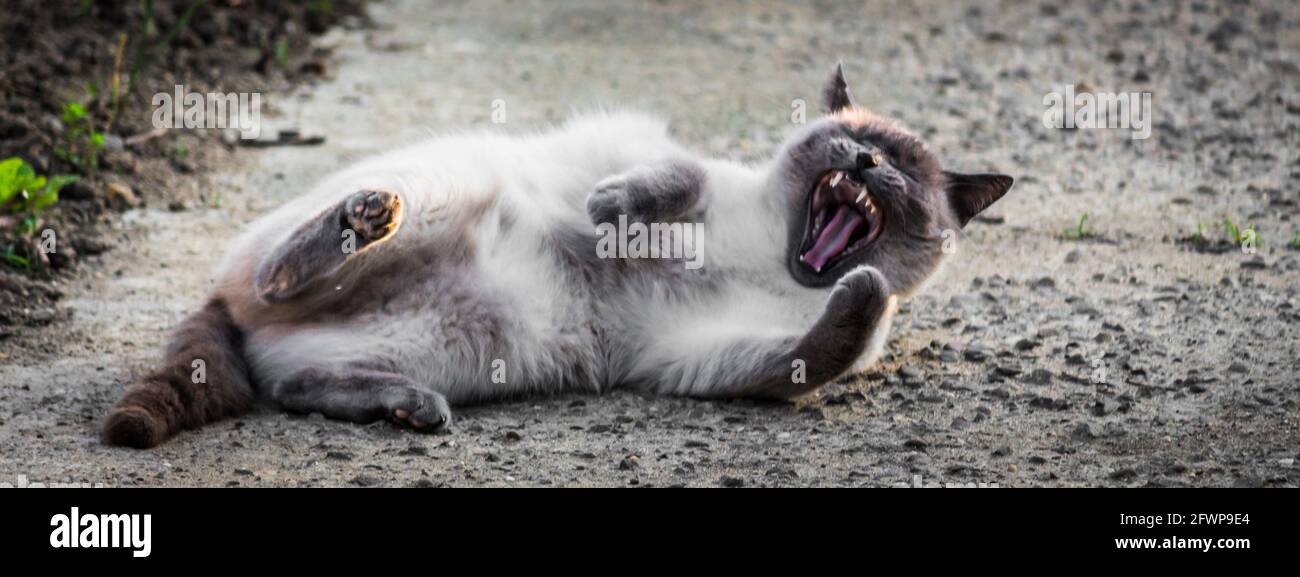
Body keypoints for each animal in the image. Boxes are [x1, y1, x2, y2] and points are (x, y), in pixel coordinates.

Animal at [101, 65, 1013, 449]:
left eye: (904, 171)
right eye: (857, 144)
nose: (865, 161)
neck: (779, 258)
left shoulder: (711, 351)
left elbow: (831, 337)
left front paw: (868, 292)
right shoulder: (659, 153)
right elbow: (669, 181)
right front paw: (613, 213)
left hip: (459, 345)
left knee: (289, 384)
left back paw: (411, 408)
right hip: (443, 191)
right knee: (275, 275)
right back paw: (362, 219)